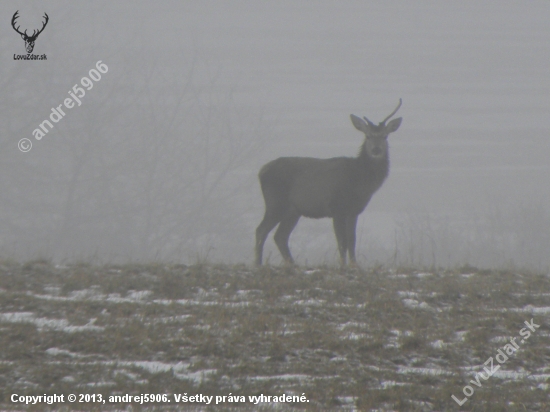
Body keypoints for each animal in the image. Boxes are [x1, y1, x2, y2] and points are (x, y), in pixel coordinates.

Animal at [256, 100, 406, 268]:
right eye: (367, 136)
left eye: (385, 136)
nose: (376, 150)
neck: (360, 182)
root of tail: (261, 171)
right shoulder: (337, 207)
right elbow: (342, 242)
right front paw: (343, 265)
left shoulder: (354, 211)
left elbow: (352, 240)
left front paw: (354, 265)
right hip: (275, 202)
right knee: (261, 230)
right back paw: (258, 263)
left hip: (293, 211)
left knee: (280, 236)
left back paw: (293, 264)